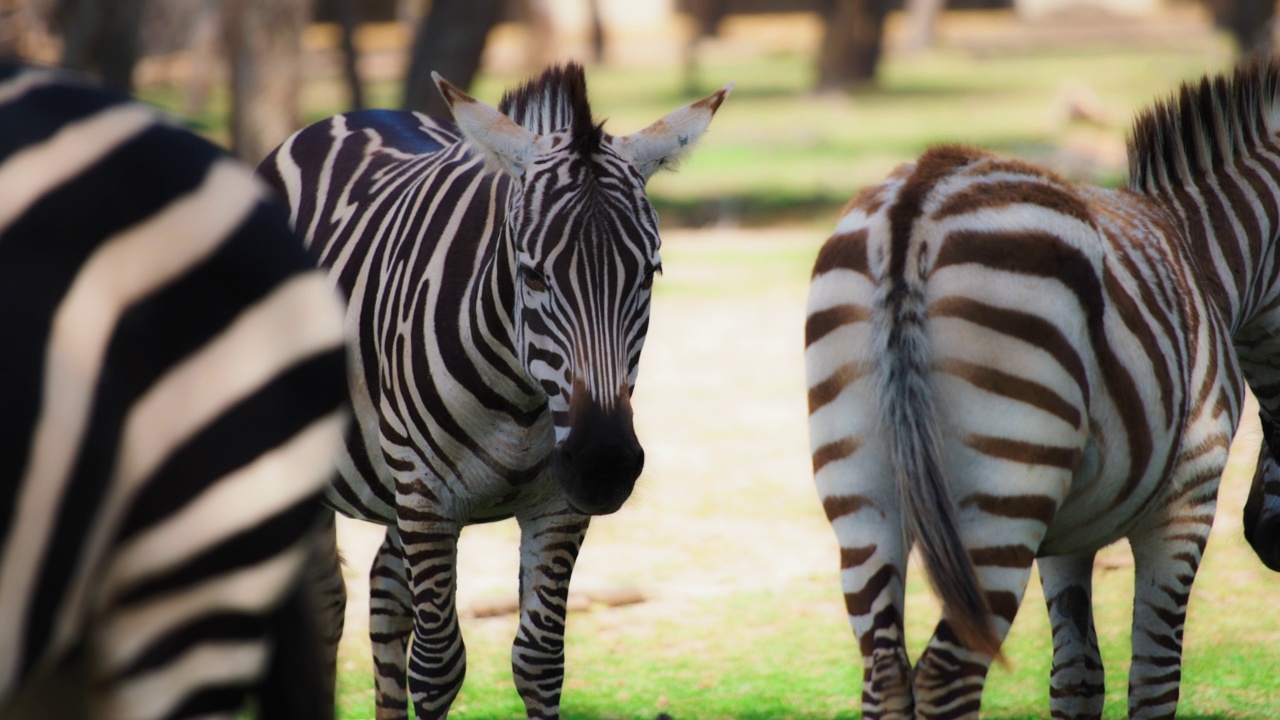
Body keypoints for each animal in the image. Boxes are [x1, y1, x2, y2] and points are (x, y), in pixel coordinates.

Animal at [259, 63, 732, 717]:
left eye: (650, 273)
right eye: (532, 275)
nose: (605, 465)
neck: (524, 402)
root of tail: (351, 115)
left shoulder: (556, 507)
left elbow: (540, 661)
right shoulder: (428, 498)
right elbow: (437, 666)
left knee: (384, 594)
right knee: (330, 602)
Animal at [808, 57, 1280, 717]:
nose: (1264, 535)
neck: (1206, 258)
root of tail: (918, 198)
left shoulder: (1063, 536)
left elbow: (1077, 677)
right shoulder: (1186, 503)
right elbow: (1154, 679)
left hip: (863, 497)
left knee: (885, 674)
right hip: (1000, 494)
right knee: (946, 674)